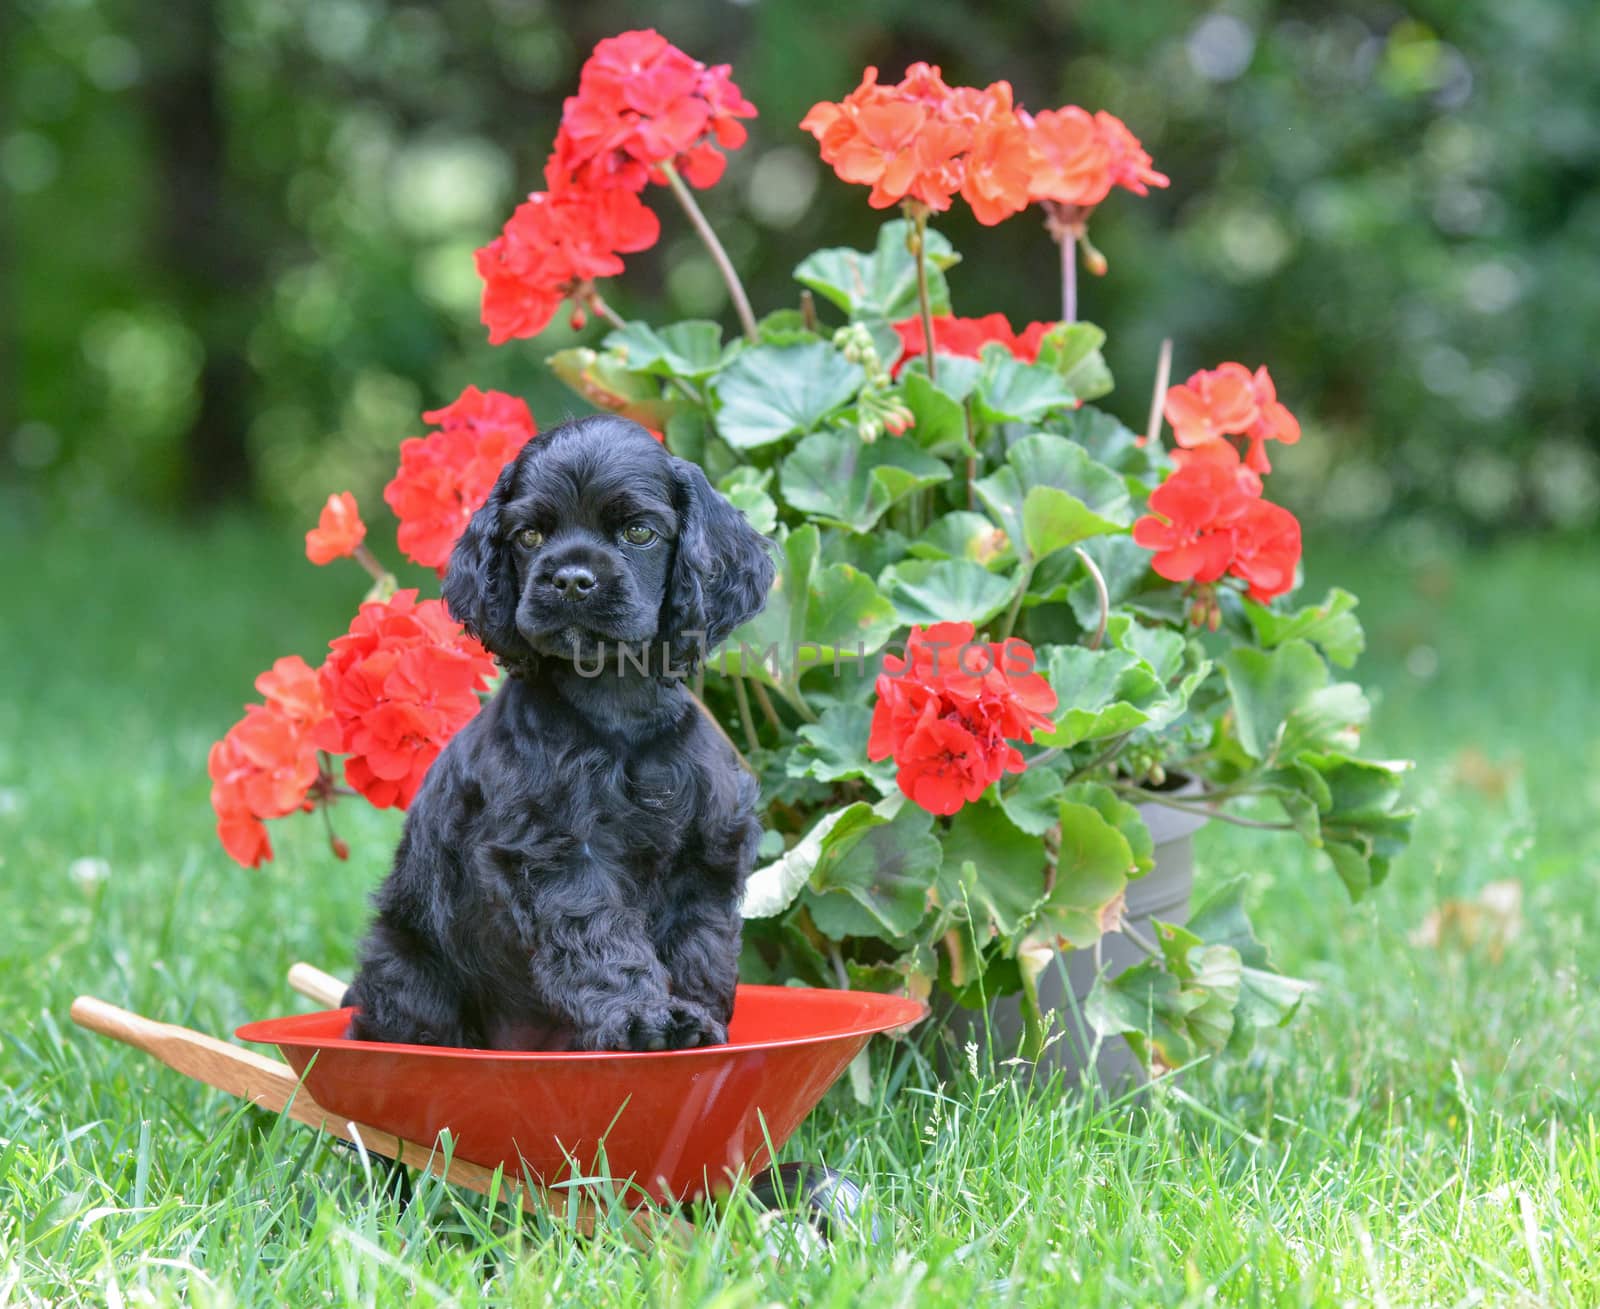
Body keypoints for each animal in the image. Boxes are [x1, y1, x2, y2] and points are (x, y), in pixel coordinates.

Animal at [342, 419, 774, 1049]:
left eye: (638, 532)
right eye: (528, 535)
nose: (571, 579)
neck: (616, 708)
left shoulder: (707, 853)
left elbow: (700, 947)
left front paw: (697, 1019)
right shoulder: (555, 851)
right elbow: (600, 939)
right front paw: (644, 1019)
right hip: (408, 965)